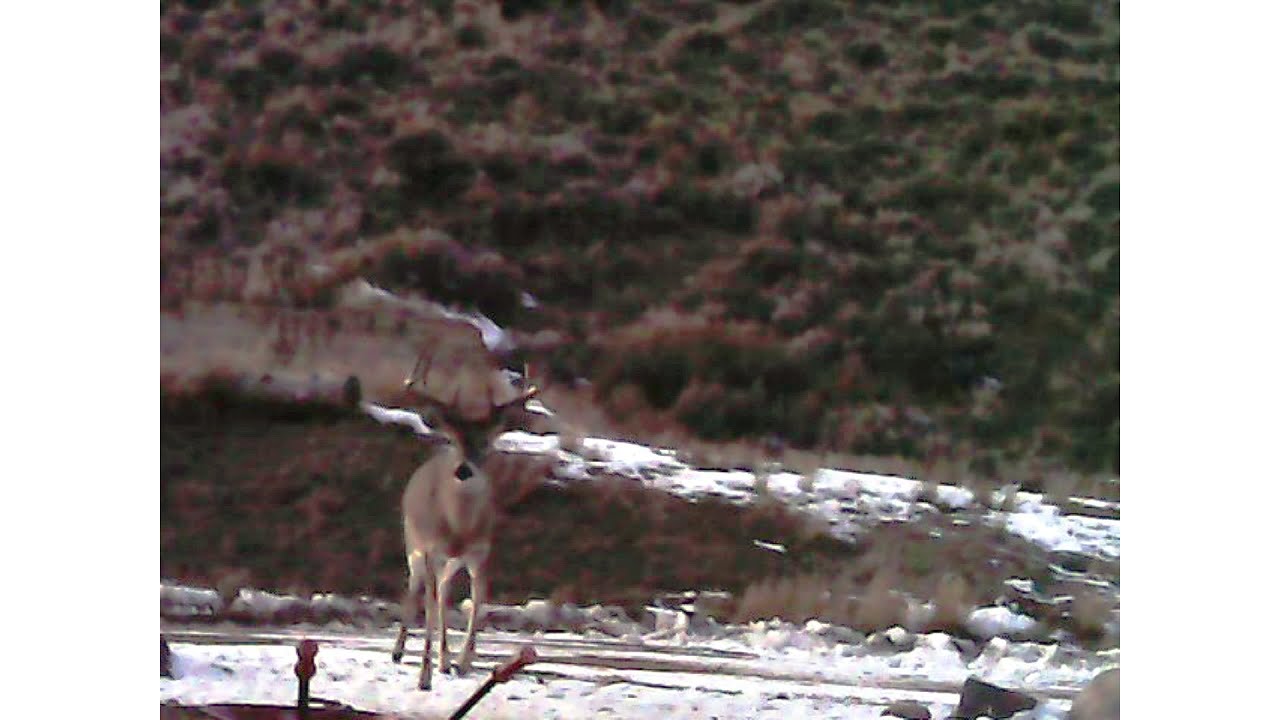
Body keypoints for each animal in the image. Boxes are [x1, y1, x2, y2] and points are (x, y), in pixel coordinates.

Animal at [358, 313, 554, 691]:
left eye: (487, 442)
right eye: (453, 439)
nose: (463, 469)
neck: (458, 527)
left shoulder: (481, 552)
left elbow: (478, 603)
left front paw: (463, 662)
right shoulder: (431, 548)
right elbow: (431, 607)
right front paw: (424, 676)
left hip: (449, 561)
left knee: (444, 592)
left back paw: (445, 659)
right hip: (413, 544)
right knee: (417, 589)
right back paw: (400, 651)